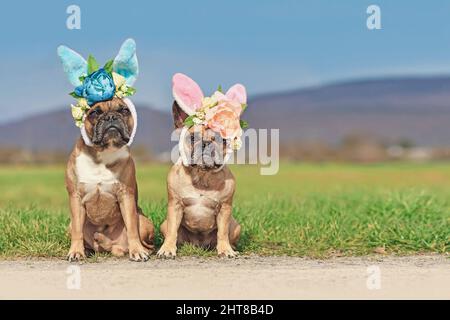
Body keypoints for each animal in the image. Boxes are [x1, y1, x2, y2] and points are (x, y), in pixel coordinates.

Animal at [59, 38, 154, 262]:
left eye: (124, 110)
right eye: (95, 112)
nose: (111, 117)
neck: (102, 154)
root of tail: (111, 247)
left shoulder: (126, 196)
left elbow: (132, 227)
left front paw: (137, 251)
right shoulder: (75, 198)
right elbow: (77, 231)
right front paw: (76, 252)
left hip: (146, 222)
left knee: (143, 236)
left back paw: (141, 249)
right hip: (70, 225)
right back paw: (88, 249)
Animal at [157, 72, 250, 258]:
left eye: (222, 139)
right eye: (192, 138)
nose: (207, 143)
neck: (202, 175)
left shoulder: (225, 209)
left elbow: (222, 232)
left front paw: (225, 250)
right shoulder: (174, 206)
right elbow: (172, 230)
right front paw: (167, 249)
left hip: (236, 226)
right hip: (164, 223)